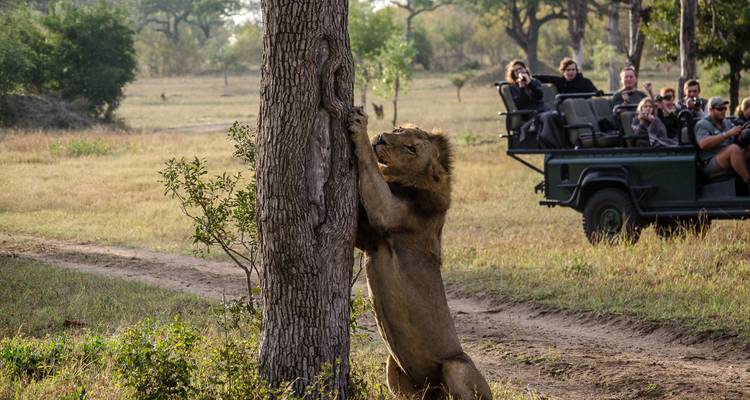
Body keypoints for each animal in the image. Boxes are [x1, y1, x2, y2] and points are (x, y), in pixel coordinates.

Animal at [347, 107, 492, 400]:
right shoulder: (369, 240)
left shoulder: (389, 213)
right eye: (399, 129)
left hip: (456, 365)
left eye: (411, 149)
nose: (382, 138)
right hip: (394, 367)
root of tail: (433, 390)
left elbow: (370, 167)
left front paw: (360, 127)